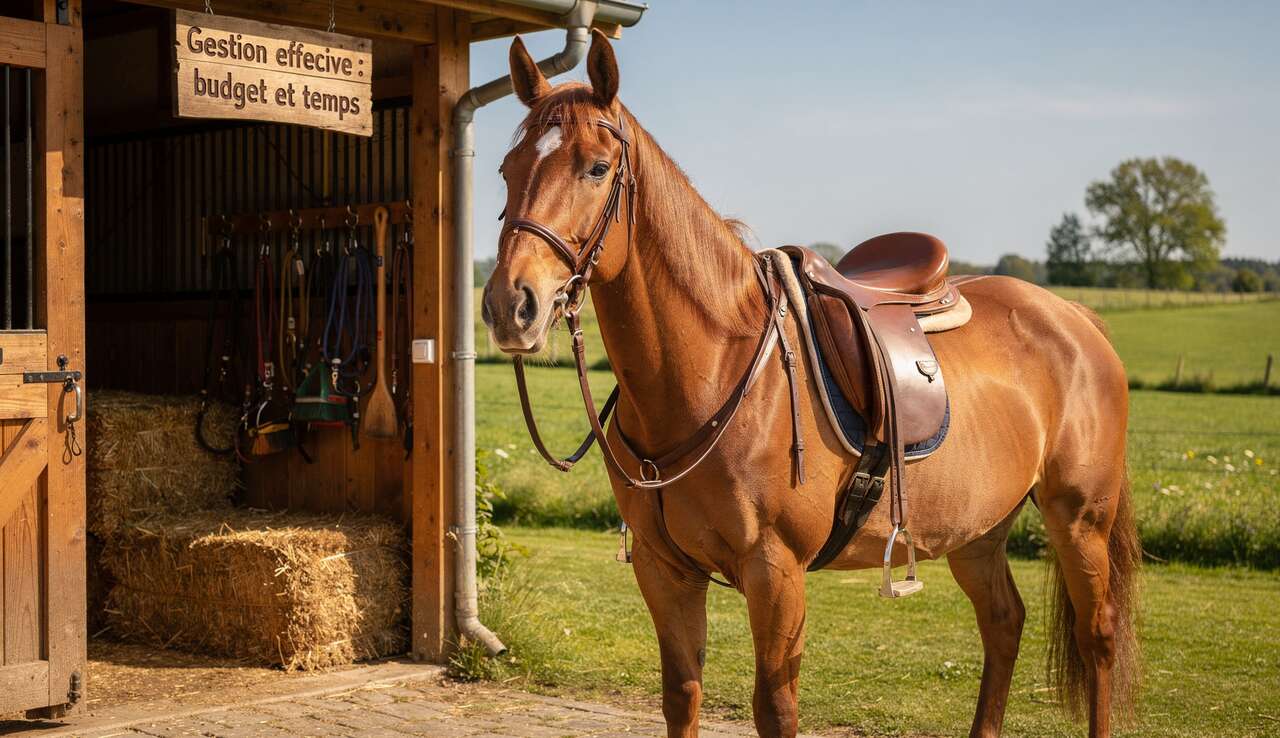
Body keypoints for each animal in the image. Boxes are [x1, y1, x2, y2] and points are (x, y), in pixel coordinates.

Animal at [481, 30, 1139, 738]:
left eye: (597, 168)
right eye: (507, 169)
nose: (510, 305)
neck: (715, 366)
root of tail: (1075, 317)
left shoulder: (775, 572)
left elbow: (775, 708)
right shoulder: (665, 571)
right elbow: (681, 694)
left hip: (1080, 518)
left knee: (1098, 637)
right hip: (978, 528)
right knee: (1003, 622)